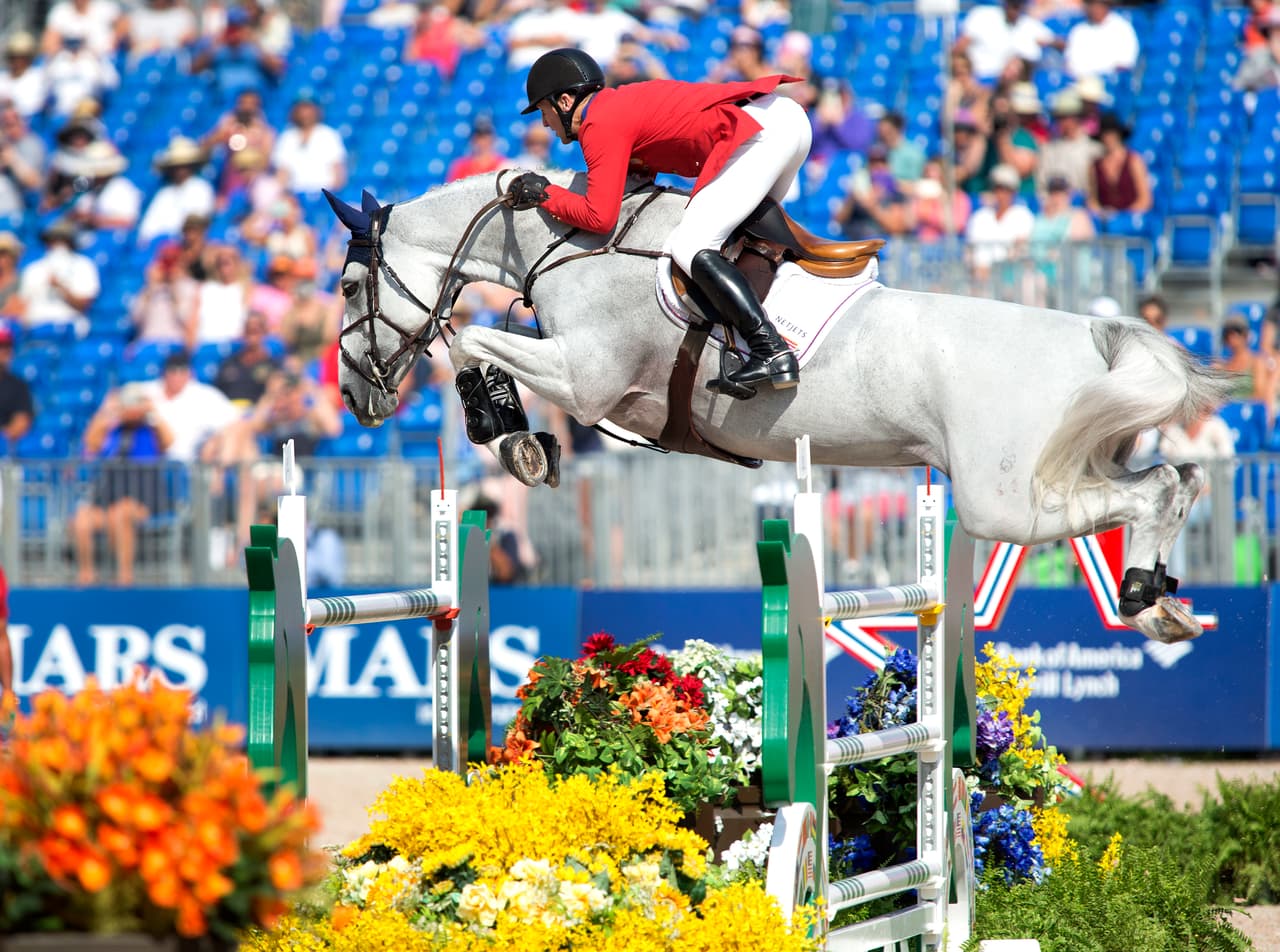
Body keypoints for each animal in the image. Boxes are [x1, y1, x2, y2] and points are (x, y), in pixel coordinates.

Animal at [323, 169, 1234, 644]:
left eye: (349, 285)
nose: (356, 397)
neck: (568, 245)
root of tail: (1097, 332)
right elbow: (479, 341)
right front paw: (517, 438)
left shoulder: (583, 378)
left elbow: (474, 342)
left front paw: (510, 436)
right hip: (1064, 468)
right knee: (1177, 479)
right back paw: (1161, 600)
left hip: (1002, 499)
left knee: (1155, 489)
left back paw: (1147, 594)